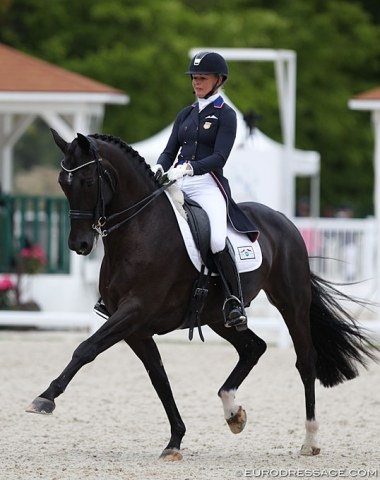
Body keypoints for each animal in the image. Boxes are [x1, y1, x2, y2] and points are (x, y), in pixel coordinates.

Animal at [26, 130, 378, 462]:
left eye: (87, 181)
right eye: (62, 183)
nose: (80, 245)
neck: (139, 231)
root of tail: (283, 221)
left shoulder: (134, 311)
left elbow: (86, 348)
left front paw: (45, 398)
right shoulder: (136, 329)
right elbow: (159, 378)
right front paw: (175, 441)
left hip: (291, 303)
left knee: (305, 361)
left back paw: (310, 440)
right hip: (218, 316)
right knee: (253, 347)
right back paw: (233, 412)